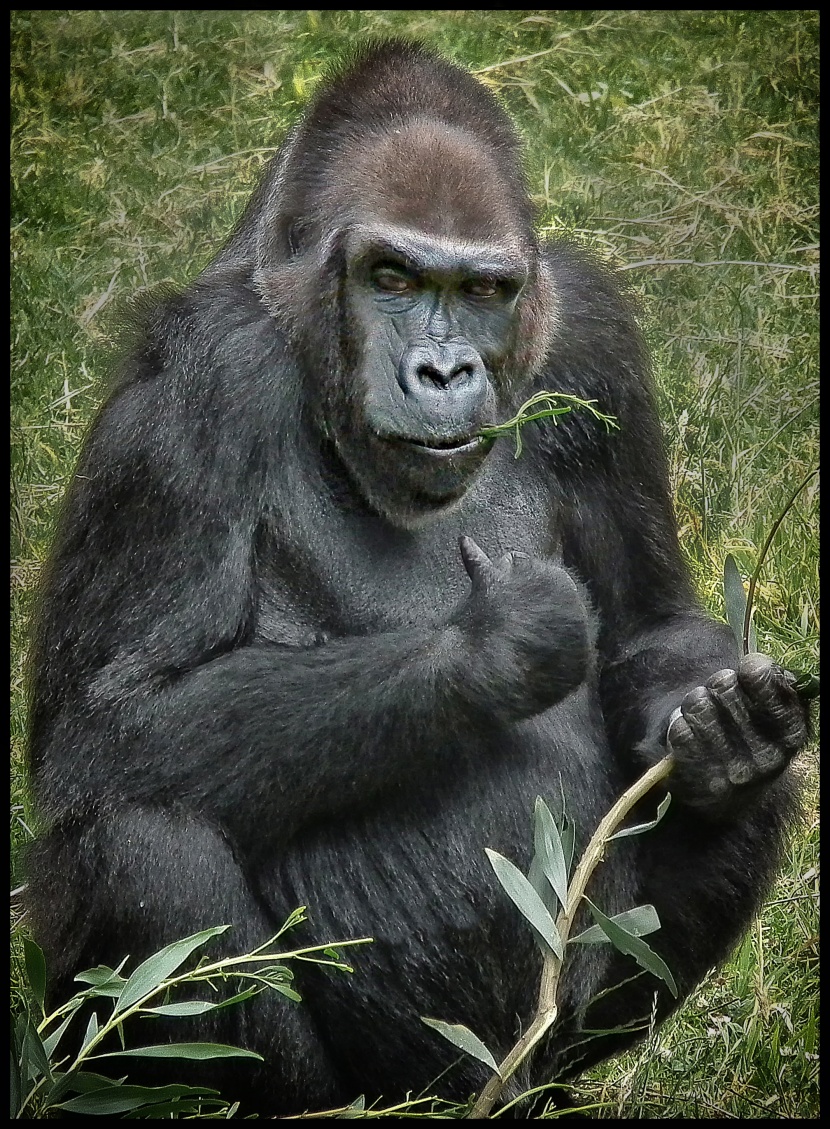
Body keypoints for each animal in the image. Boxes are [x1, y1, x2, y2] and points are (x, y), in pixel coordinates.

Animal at [27, 39, 813, 1115]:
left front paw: (719, 728)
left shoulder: (592, 338)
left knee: (756, 793)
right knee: (134, 845)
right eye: (391, 276)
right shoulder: (189, 386)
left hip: (537, 1050)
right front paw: (494, 647)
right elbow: (110, 727)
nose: (441, 373)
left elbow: (655, 626)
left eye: (484, 291)